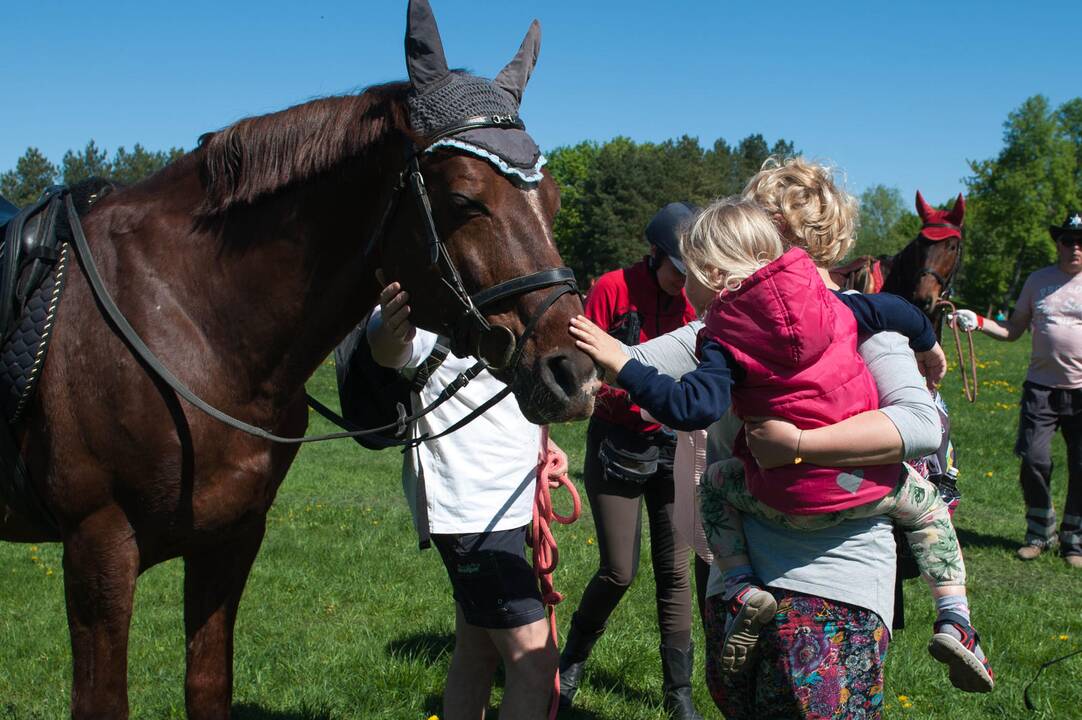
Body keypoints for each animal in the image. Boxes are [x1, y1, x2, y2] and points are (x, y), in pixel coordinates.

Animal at [0, 2, 592, 714]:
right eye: (463, 200)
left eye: (552, 198)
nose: (574, 372)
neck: (190, 324)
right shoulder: (97, 550)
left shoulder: (230, 541)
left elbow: (208, 685)